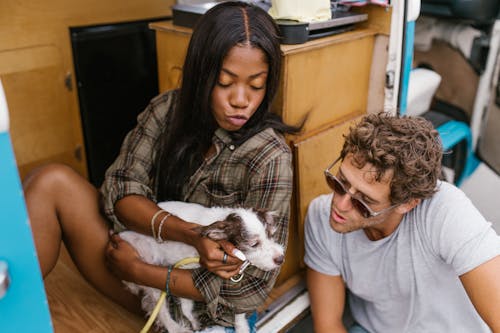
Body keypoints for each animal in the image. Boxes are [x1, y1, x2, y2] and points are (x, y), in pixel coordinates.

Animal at [119, 200, 286, 332]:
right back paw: (177, 328)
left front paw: (242, 328)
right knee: (160, 309)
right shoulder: (182, 268)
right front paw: (193, 322)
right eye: (254, 244)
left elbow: (239, 307)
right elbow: (185, 307)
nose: (281, 259)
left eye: (271, 235)